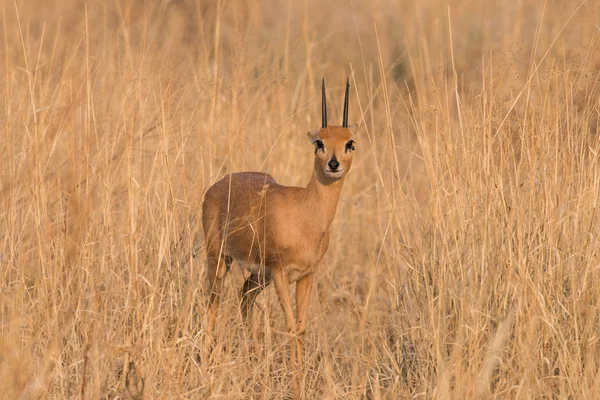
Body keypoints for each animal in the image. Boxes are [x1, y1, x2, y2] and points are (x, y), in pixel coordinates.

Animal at [202, 77, 356, 394]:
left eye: (350, 142)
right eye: (319, 142)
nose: (333, 164)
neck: (306, 215)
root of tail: (216, 186)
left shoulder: (307, 276)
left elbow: (301, 327)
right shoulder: (280, 273)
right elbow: (290, 326)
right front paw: (295, 387)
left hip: (257, 276)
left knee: (244, 297)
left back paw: (254, 363)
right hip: (219, 260)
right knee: (213, 302)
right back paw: (207, 365)